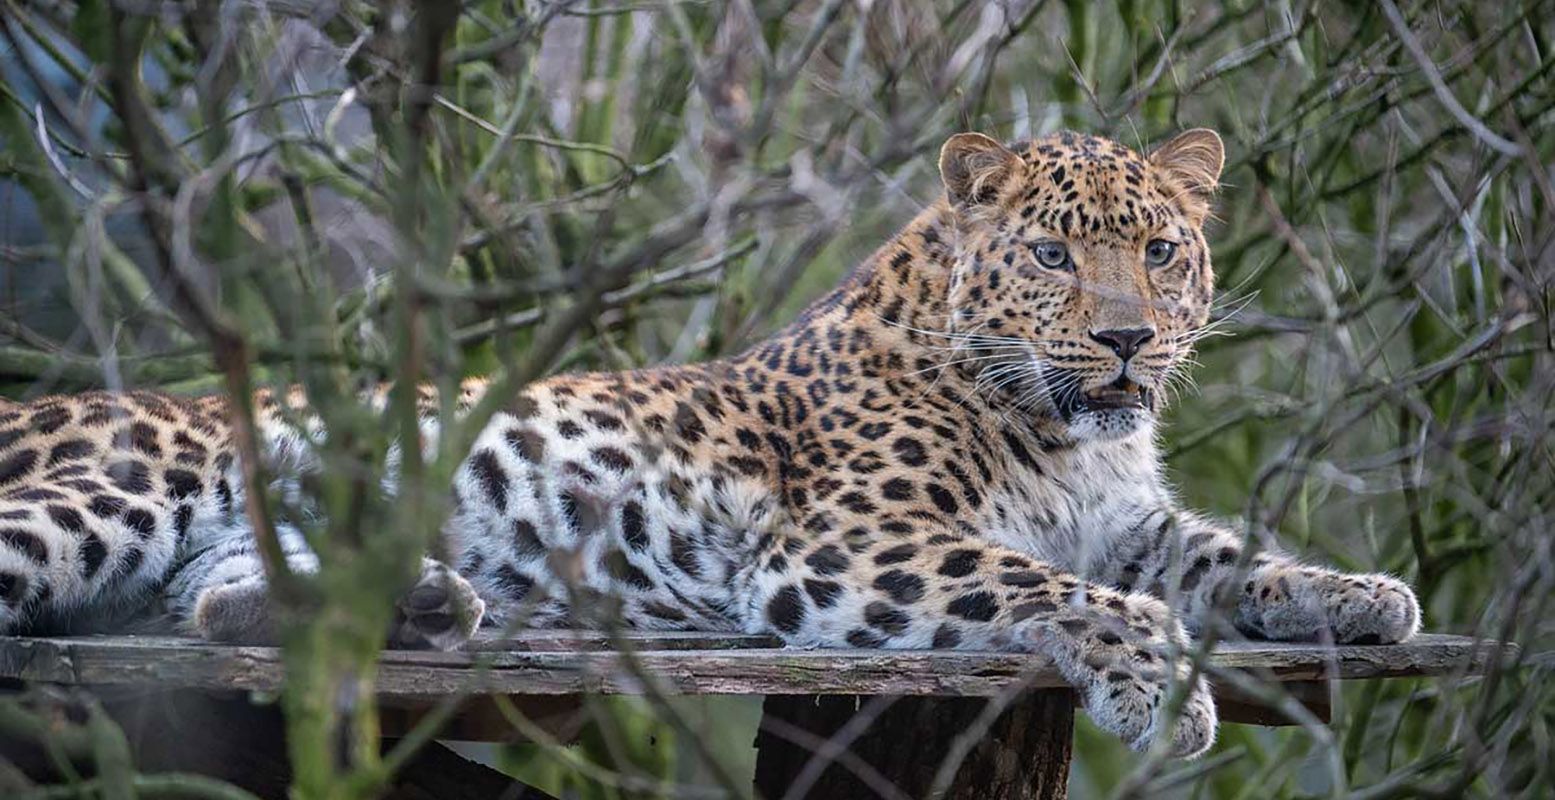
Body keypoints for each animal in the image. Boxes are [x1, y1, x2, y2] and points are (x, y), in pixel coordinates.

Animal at [0, 127, 1418, 756]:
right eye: (1054, 255)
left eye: (1161, 250)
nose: (1126, 341)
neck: (1072, 439)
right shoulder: (849, 543)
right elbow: (1056, 585)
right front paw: (1156, 683)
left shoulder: (1129, 522)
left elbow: (1225, 556)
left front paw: (1357, 592)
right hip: (117, 490)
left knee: (208, 601)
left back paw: (421, 601)